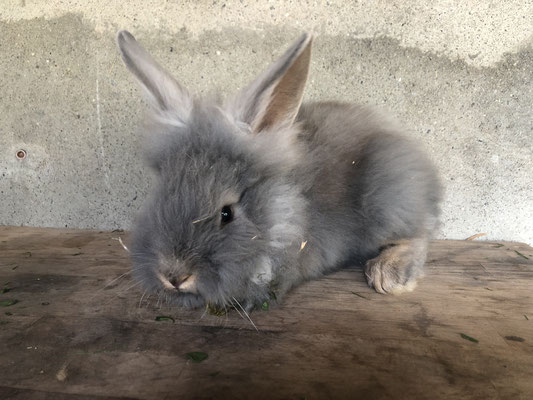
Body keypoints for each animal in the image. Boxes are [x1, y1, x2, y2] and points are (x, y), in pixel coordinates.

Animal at [115, 32, 440, 312]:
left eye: (227, 213)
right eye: (159, 197)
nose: (174, 275)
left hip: (390, 197)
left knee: (419, 233)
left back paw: (390, 274)